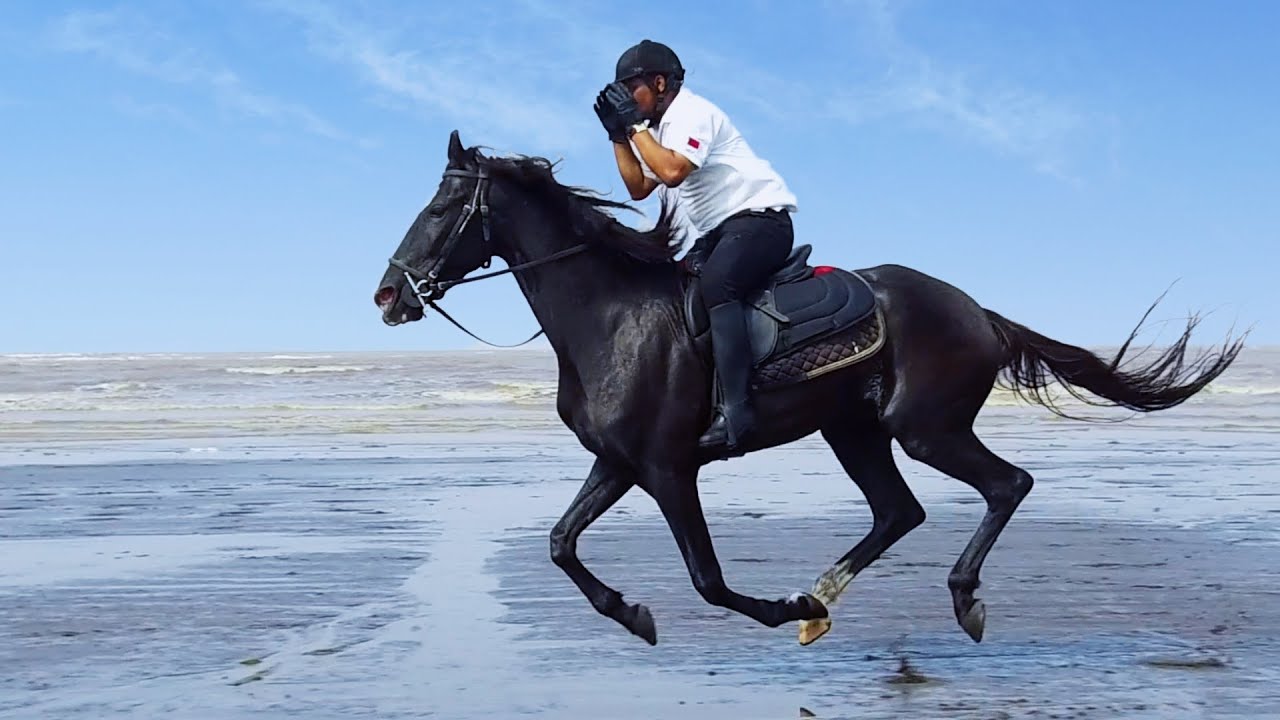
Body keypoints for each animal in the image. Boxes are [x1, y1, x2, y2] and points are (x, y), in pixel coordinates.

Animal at [373, 130, 1245, 647]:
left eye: (443, 207)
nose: (388, 295)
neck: (609, 315)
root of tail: (979, 313)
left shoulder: (667, 469)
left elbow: (708, 580)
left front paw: (777, 607)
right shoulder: (619, 463)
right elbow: (560, 544)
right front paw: (635, 613)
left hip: (925, 427)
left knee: (1008, 484)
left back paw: (954, 598)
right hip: (854, 431)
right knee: (899, 512)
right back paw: (826, 597)